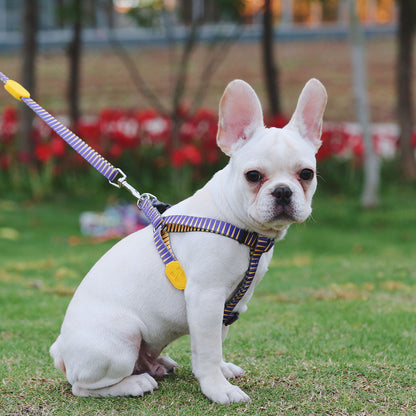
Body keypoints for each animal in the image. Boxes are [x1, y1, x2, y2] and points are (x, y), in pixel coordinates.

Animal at [50, 78, 326, 404]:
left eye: (306, 174)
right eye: (253, 176)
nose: (283, 191)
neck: (243, 229)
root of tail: (60, 350)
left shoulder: (225, 307)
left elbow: (216, 342)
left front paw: (222, 369)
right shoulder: (206, 297)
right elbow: (208, 351)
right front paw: (218, 388)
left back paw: (156, 364)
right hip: (121, 337)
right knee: (83, 386)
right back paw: (135, 383)